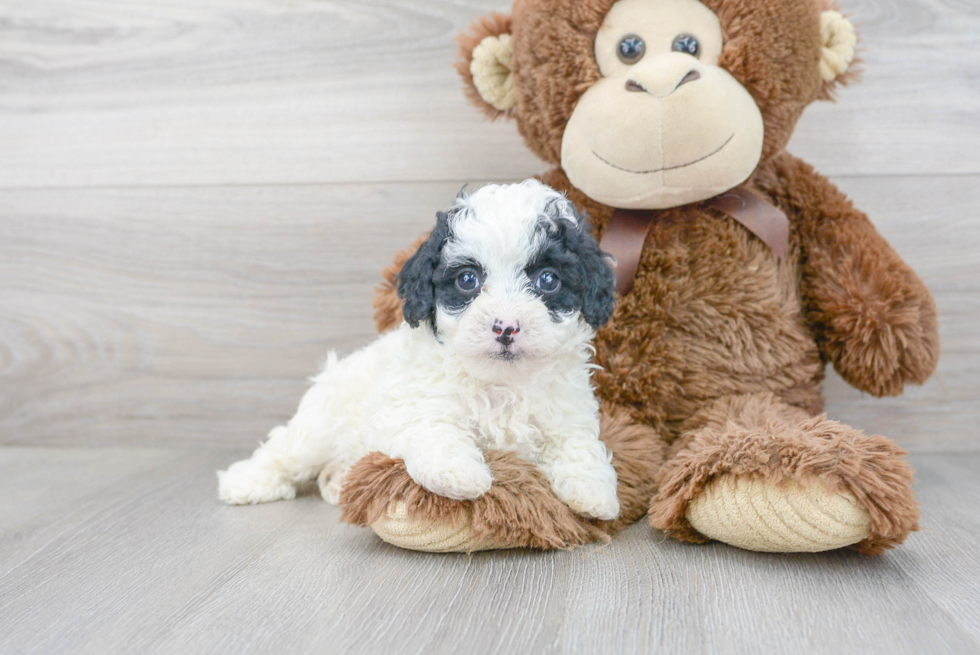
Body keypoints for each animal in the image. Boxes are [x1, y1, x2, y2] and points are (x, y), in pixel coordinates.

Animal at [220, 182, 620, 520]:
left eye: (548, 280)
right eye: (467, 280)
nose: (506, 327)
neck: (501, 382)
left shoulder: (567, 414)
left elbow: (577, 444)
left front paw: (594, 491)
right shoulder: (415, 405)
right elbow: (436, 431)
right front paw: (459, 474)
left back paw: (338, 479)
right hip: (321, 423)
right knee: (284, 450)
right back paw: (245, 482)